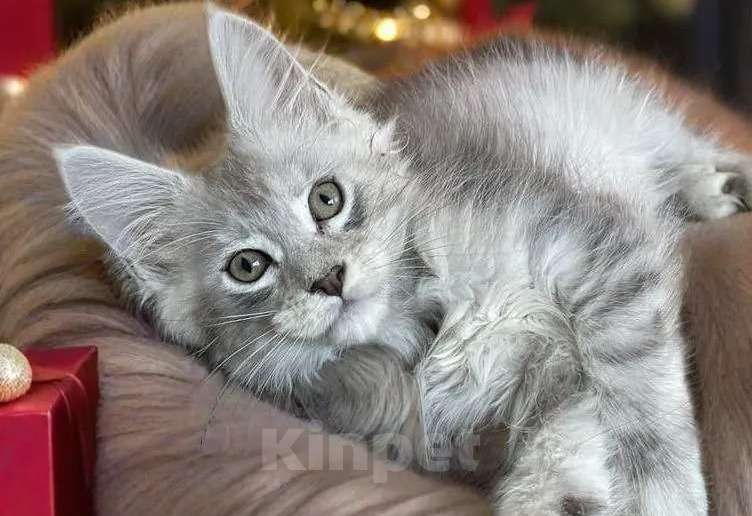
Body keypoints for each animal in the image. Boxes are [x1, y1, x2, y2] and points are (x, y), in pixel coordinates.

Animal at [52, 5, 752, 515]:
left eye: (326, 199)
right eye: (247, 267)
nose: (328, 278)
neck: (431, 319)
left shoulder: (600, 252)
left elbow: (640, 398)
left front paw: (666, 492)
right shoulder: (512, 401)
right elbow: (566, 446)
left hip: (626, 120)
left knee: (690, 151)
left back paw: (718, 187)